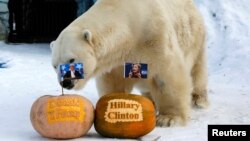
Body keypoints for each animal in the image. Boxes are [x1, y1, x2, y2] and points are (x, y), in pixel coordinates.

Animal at [49, 0, 208, 126]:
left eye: (71, 60)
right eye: (54, 65)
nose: (65, 82)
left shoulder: (154, 36)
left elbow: (167, 74)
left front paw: (168, 118)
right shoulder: (115, 61)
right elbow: (114, 83)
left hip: (194, 36)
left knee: (196, 70)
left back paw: (199, 100)